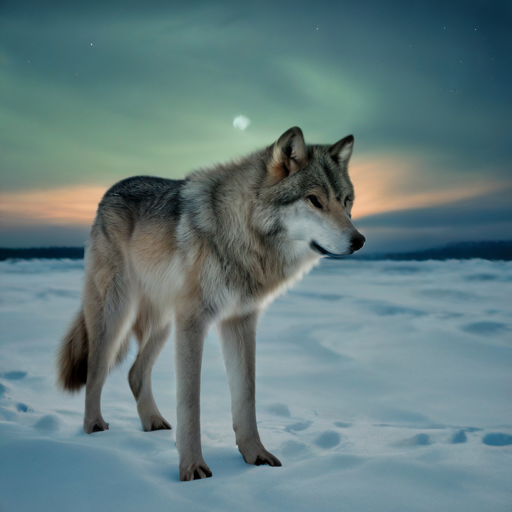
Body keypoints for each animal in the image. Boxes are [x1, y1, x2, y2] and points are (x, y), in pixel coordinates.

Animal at [58, 127, 366, 480]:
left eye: (346, 201)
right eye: (314, 200)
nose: (359, 241)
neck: (241, 235)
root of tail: (109, 191)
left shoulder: (240, 321)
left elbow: (246, 395)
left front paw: (256, 456)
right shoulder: (194, 322)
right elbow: (191, 402)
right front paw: (193, 469)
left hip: (164, 324)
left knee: (135, 372)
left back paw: (152, 422)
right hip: (117, 314)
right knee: (96, 368)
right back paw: (94, 428)